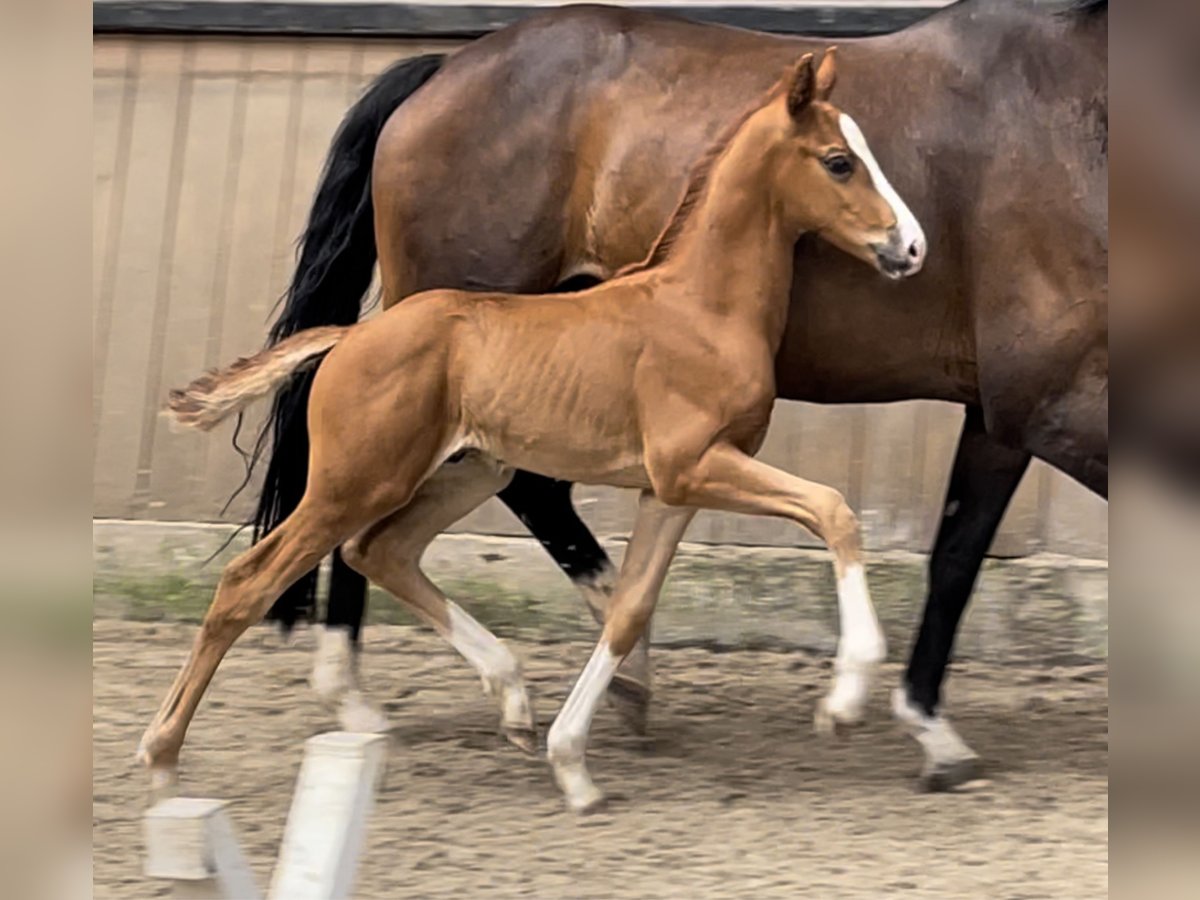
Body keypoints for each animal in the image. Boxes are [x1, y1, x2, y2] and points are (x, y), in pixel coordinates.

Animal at [140, 49, 926, 811]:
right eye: (839, 161)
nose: (912, 247)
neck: (698, 307)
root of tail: (349, 336)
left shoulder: (672, 488)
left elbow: (628, 612)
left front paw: (572, 766)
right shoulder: (693, 465)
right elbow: (833, 509)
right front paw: (845, 699)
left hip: (469, 470)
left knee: (379, 550)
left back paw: (513, 702)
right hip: (354, 482)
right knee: (249, 581)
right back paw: (163, 763)